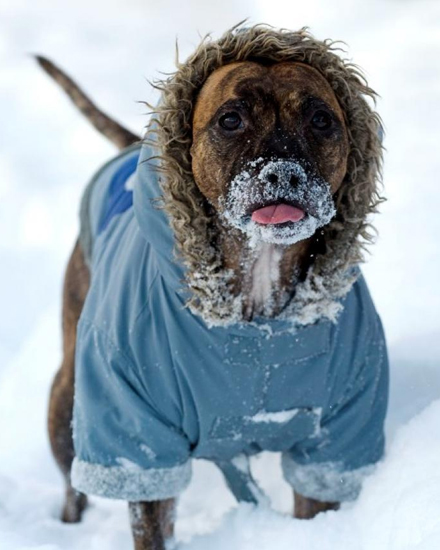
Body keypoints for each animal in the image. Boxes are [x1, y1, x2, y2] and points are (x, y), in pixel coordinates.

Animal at [39, 24, 388, 550]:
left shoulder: (336, 441)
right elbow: (150, 518)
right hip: (69, 399)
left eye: (322, 119)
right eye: (230, 119)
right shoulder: (140, 440)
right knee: (72, 483)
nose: (283, 170)